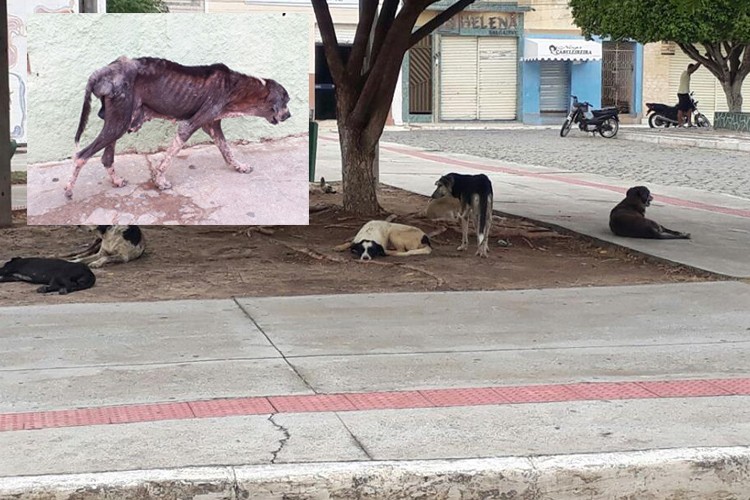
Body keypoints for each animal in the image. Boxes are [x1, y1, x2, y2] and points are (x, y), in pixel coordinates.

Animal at [66, 56, 292, 199]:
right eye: (286, 100)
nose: (289, 115)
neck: (233, 87)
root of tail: (104, 71)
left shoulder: (212, 126)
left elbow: (227, 151)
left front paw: (239, 167)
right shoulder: (188, 126)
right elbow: (168, 158)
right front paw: (160, 181)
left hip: (118, 122)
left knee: (106, 158)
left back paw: (116, 181)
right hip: (118, 124)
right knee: (81, 155)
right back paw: (68, 190)